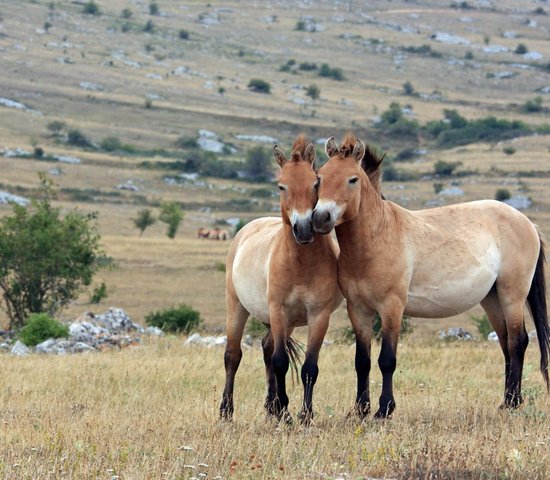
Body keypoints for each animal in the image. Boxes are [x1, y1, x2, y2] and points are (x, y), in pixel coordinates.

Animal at [219, 135, 340, 424]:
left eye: (315, 183)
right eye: (281, 186)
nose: (304, 228)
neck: (299, 264)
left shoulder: (318, 315)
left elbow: (309, 366)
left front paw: (304, 415)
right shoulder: (278, 310)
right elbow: (281, 362)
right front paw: (285, 410)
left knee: (266, 347)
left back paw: (271, 408)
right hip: (237, 307)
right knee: (233, 355)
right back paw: (226, 412)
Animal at [312, 134, 548, 416]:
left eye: (352, 179)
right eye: (320, 177)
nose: (320, 218)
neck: (378, 237)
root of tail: (527, 222)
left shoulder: (392, 307)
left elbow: (387, 360)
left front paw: (384, 410)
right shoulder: (358, 310)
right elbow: (362, 361)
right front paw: (359, 410)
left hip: (512, 294)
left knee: (518, 342)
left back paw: (512, 402)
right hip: (492, 298)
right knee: (506, 344)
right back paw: (508, 401)